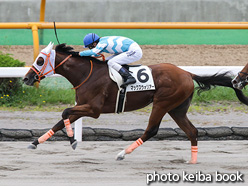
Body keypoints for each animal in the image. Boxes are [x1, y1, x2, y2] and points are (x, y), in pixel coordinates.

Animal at [23, 42, 248, 163]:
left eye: (40, 60)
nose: (26, 78)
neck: (87, 74)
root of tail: (187, 73)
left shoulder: (93, 109)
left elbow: (64, 113)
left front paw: (72, 141)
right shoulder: (83, 106)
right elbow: (61, 119)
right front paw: (35, 142)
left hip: (162, 103)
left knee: (151, 131)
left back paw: (122, 153)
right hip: (177, 108)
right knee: (192, 131)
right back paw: (192, 161)